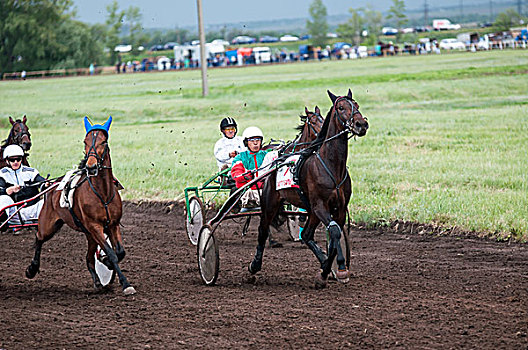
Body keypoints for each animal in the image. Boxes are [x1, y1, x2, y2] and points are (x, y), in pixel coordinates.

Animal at [25, 117, 135, 296]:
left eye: (103, 141)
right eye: (85, 141)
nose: (91, 166)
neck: (102, 193)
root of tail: (51, 185)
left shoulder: (112, 225)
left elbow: (119, 252)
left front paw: (105, 262)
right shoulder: (95, 226)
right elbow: (112, 253)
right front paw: (125, 283)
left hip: (89, 234)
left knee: (88, 258)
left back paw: (97, 281)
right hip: (49, 224)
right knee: (39, 238)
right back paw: (32, 269)